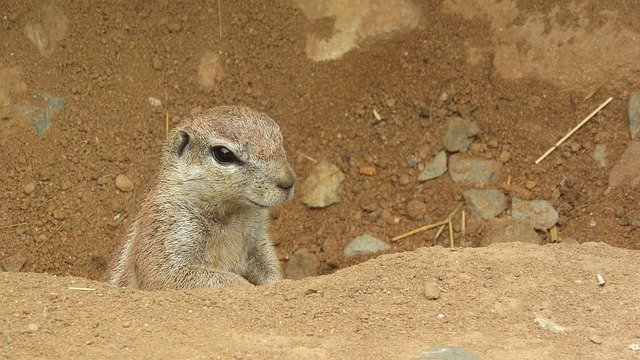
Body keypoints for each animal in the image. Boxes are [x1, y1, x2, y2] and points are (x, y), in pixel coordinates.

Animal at [107, 106, 296, 290]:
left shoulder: (258, 238)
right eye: (224, 153)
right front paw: (246, 286)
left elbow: (268, 262)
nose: (289, 181)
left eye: (279, 138)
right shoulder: (166, 228)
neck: (232, 213)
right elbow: (162, 273)